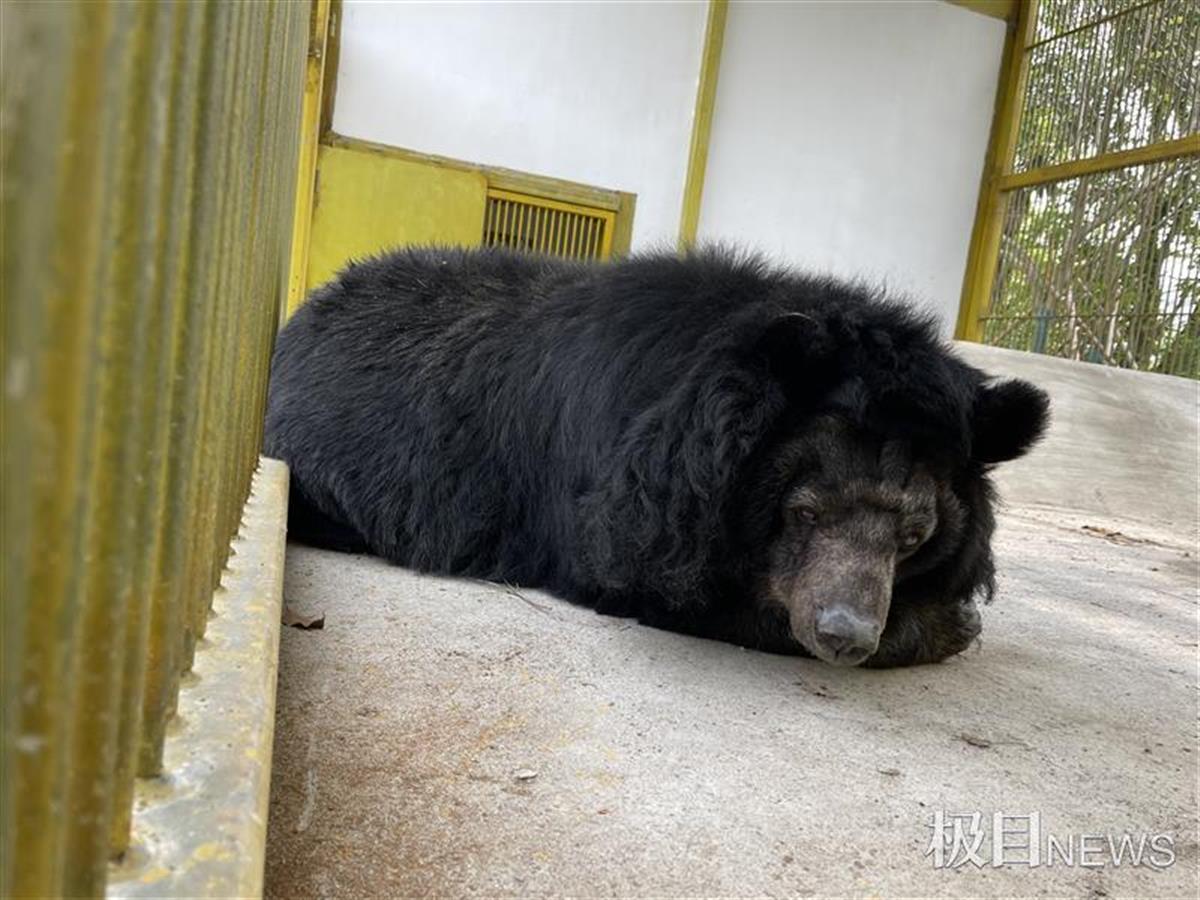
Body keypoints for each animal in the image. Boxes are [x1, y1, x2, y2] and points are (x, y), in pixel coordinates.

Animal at [267, 247, 1046, 672]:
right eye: (802, 512)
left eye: (914, 535)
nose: (844, 636)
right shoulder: (630, 510)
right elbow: (673, 587)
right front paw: (952, 626)